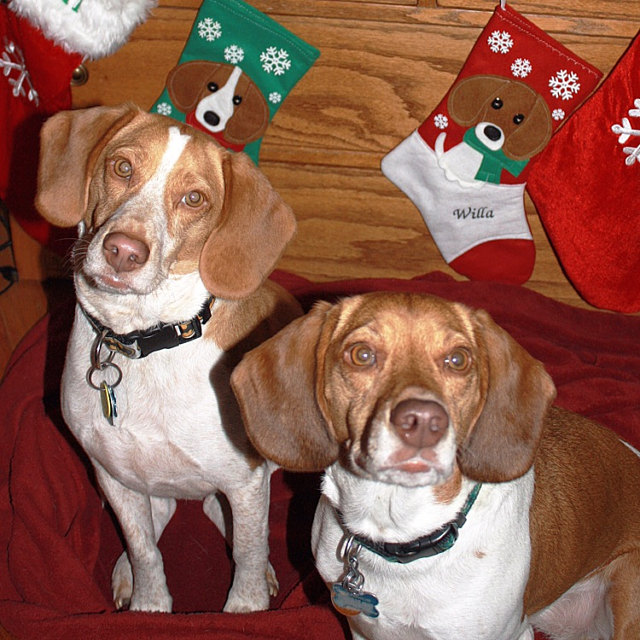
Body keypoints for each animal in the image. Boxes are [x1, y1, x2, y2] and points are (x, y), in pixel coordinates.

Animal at [35, 103, 302, 613]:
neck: (142, 340)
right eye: (122, 167)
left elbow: (248, 553)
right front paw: (149, 607)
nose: (123, 251)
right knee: (166, 509)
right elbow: (145, 551)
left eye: (194, 198)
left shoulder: (245, 481)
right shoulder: (113, 474)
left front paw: (245, 609)